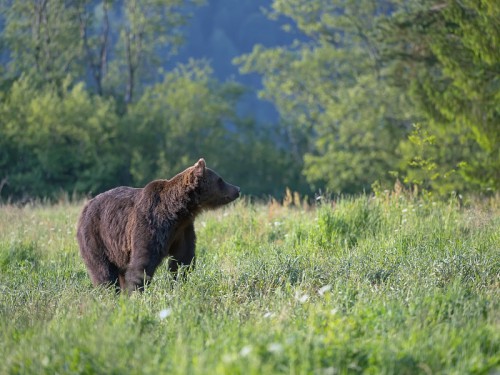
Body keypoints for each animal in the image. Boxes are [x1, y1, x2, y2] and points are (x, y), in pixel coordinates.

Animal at [76, 159, 240, 294]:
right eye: (220, 180)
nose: (237, 189)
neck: (177, 212)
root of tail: (86, 206)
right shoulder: (151, 223)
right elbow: (143, 260)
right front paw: (135, 291)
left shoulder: (182, 229)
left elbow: (182, 258)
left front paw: (179, 282)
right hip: (97, 237)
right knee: (103, 270)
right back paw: (109, 292)